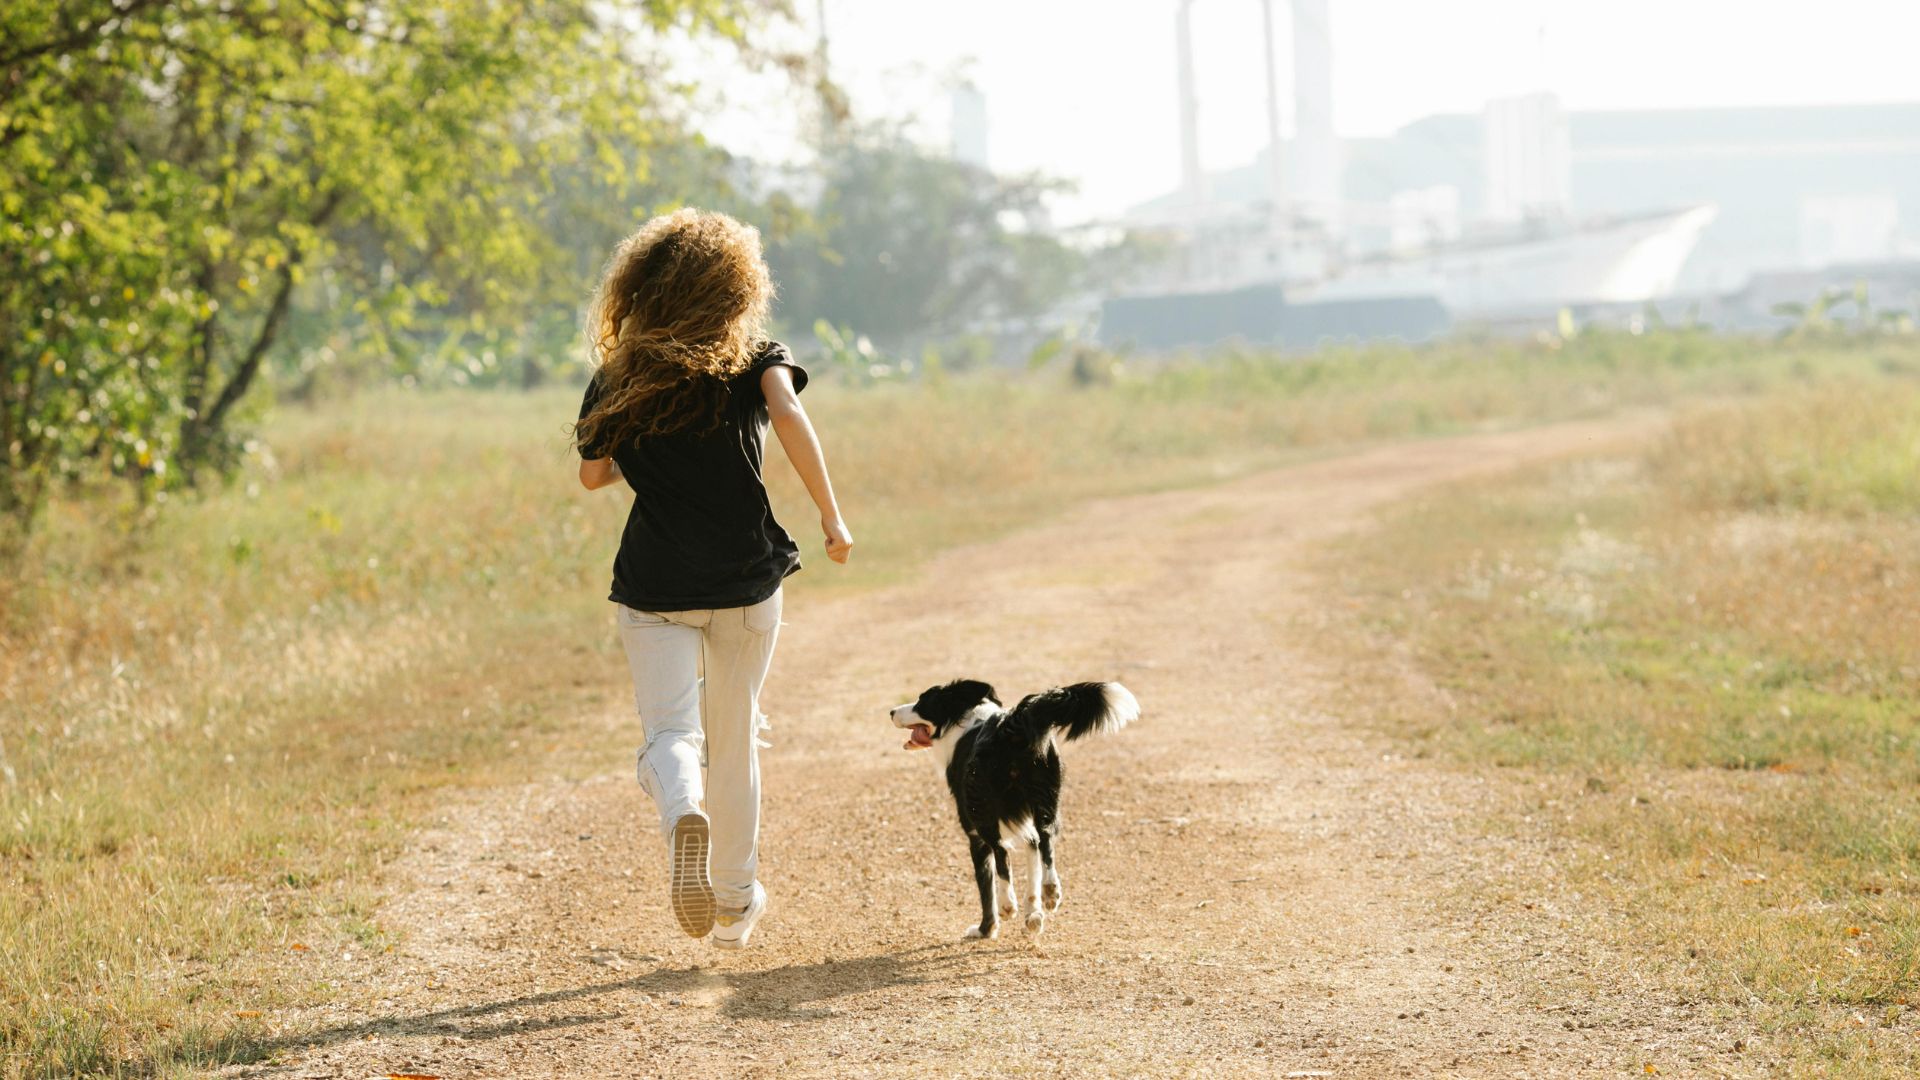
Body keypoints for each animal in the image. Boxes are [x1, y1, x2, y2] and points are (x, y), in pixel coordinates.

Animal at [887, 680, 1136, 933]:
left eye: (922, 701)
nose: (891, 712)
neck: (964, 719)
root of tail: (1011, 725)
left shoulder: (973, 835)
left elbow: (986, 887)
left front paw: (985, 929)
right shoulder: (1027, 828)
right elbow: (1034, 866)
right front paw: (1034, 915)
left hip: (980, 809)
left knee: (1001, 852)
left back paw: (1007, 904)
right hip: (1046, 797)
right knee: (1046, 840)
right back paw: (1051, 891)